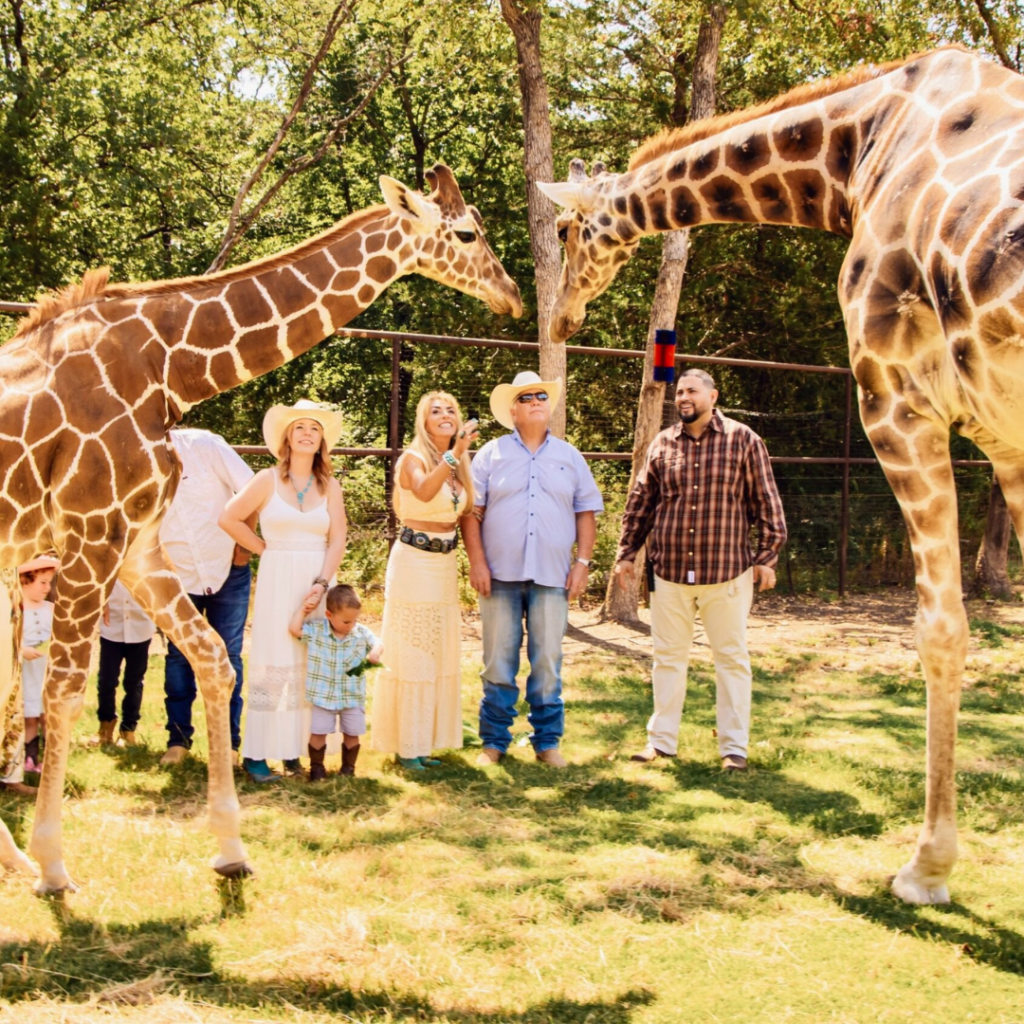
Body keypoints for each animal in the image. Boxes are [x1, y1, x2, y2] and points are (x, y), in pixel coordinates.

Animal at [0, 163, 522, 892]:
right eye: (469, 233)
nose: (514, 297)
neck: (168, 370)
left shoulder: (136, 545)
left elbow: (217, 663)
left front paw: (231, 849)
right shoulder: (91, 533)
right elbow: (66, 690)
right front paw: (53, 864)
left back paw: (12, 858)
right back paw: (29, 859)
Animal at [536, 44, 1024, 904]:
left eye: (567, 226)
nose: (563, 320)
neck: (856, 152)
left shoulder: (900, 401)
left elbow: (939, 630)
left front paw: (926, 868)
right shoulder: (1004, 438)